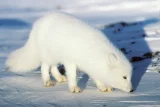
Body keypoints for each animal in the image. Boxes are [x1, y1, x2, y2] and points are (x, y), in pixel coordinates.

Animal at [5, 12, 133, 93]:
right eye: (124, 77)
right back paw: (47, 81)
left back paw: (59, 78)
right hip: (49, 55)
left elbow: (96, 76)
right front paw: (74, 88)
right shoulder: (70, 61)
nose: (132, 90)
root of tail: (37, 23)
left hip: (56, 56)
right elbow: (73, 75)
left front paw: (103, 86)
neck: (93, 50)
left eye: (129, 77)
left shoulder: (90, 65)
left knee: (53, 67)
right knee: (44, 67)